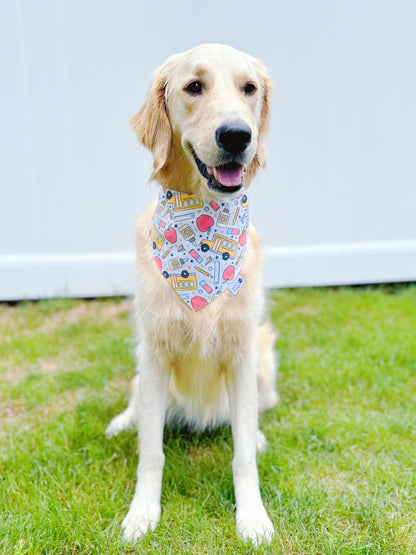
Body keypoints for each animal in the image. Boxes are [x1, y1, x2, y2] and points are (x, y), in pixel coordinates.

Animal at [105, 44, 278, 548]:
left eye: (249, 88)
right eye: (194, 87)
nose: (237, 135)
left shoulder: (241, 353)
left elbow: (243, 454)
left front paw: (252, 517)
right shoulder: (155, 352)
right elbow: (151, 453)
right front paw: (142, 514)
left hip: (264, 358)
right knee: (136, 402)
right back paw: (122, 421)